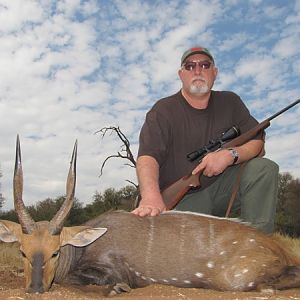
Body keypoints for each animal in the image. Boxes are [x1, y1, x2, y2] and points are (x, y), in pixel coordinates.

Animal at [0, 138, 300, 296]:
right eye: (23, 252)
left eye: (55, 252)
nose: (35, 289)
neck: (82, 248)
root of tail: (280, 250)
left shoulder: (113, 269)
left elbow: (88, 281)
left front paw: (117, 289)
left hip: (238, 279)